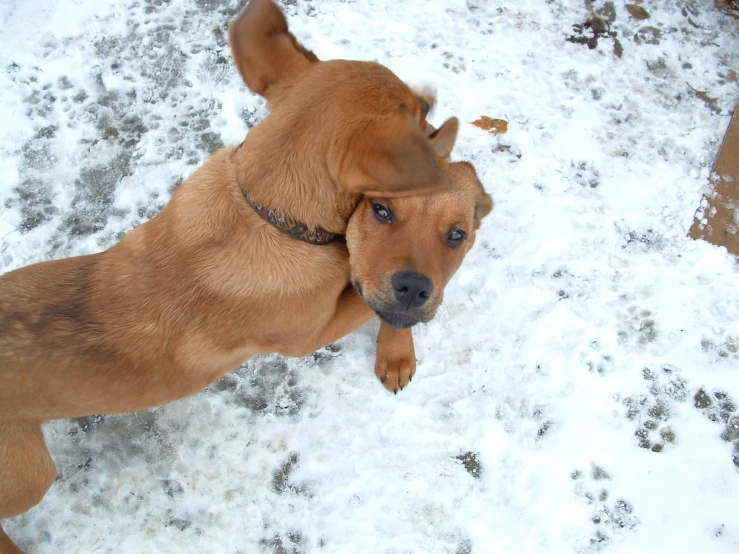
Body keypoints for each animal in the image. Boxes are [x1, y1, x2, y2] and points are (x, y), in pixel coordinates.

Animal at [1, 0, 492, 548]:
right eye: (419, 113)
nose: (432, 99)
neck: (262, 213)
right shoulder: (312, 330)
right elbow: (370, 292)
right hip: (27, 474)